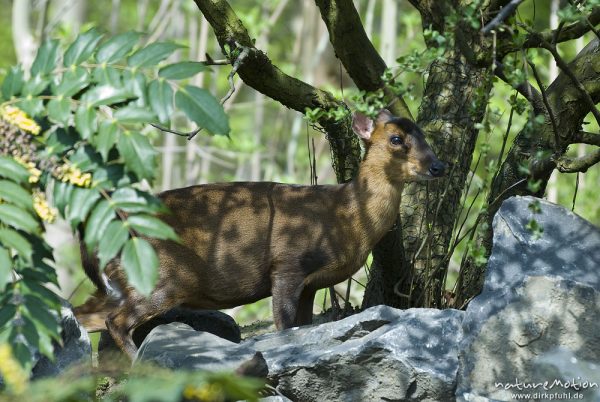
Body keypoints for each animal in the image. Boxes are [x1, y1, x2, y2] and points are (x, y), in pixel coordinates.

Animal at [74, 108, 446, 356]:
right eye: (396, 139)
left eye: (425, 136)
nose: (438, 166)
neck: (346, 217)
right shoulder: (288, 264)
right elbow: (283, 324)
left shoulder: (311, 284)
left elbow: (303, 324)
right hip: (162, 276)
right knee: (116, 322)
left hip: (116, 285)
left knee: (83, 316)